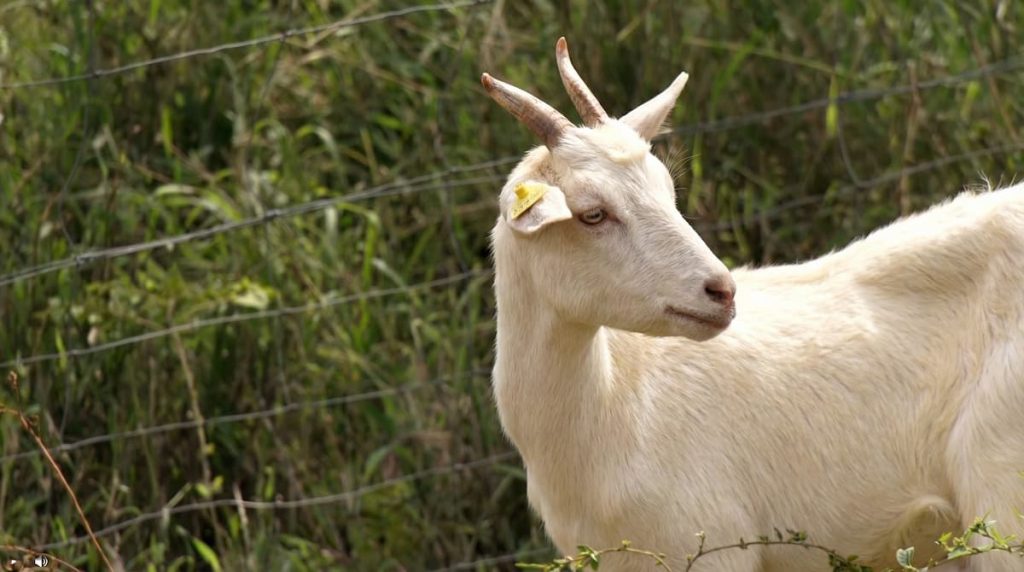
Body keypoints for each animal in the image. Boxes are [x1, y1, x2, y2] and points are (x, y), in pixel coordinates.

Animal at [482, 38, 1024, 571]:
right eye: (593, 214)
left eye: (667, 189)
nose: (721, 291)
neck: (617, 401)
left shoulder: (711, 547)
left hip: (1001, 491)